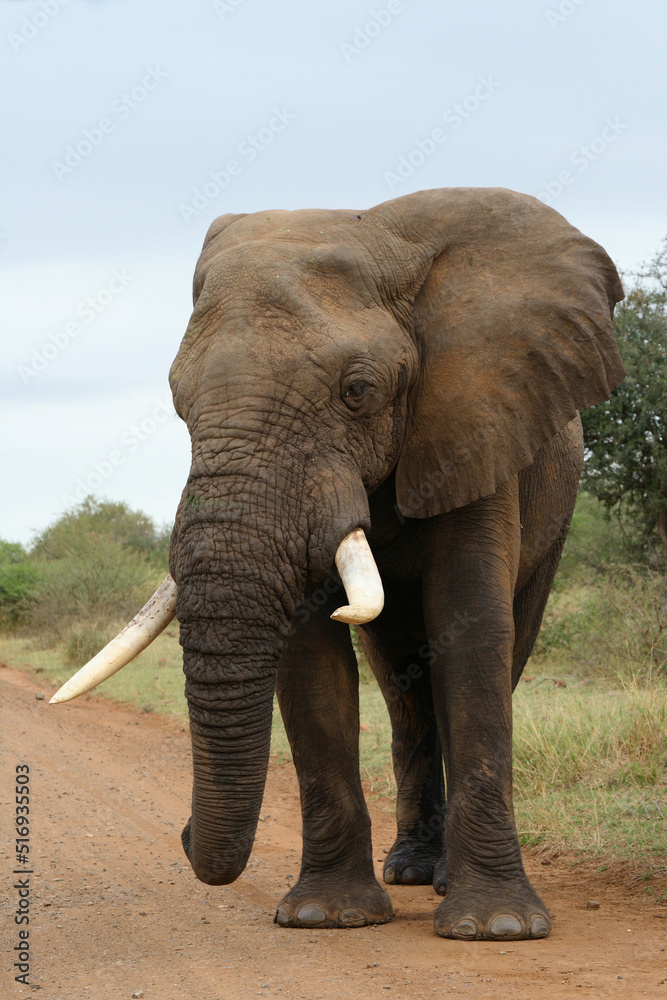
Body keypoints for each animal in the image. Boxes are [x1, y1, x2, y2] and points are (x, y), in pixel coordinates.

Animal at [52, 187, 625, 940]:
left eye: (357, 390)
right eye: (178, 401)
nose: (182, 832)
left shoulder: (476, 421)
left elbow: (471, 629)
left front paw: (498, 928)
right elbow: (310, 657)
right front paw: (327, 916)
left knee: (499, 651)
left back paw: (442, 880)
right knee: (401, 686)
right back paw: (410, 871)